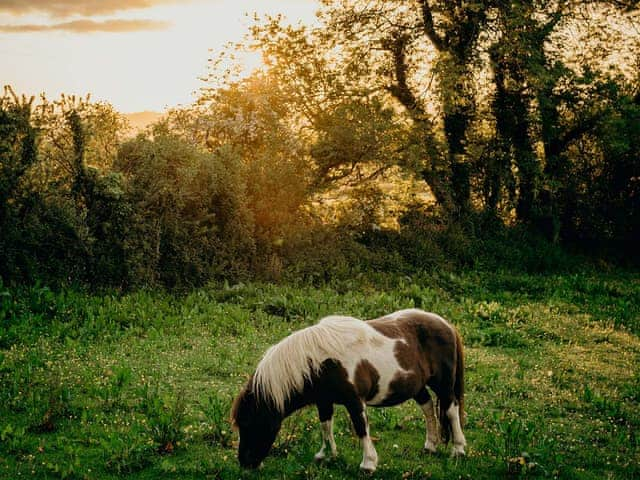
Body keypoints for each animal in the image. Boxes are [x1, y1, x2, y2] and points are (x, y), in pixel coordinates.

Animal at [230, 310, 464, 470]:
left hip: (443, 384)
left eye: (250, 423)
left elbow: (361, 428)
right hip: (417, 386)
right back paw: (430, 446)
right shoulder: (324, 401)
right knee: (428, 408)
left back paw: (458, 449)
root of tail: (447, 324)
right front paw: (326, 455)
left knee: (451, 410)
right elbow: (326, 426)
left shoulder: (355, 401)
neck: (322, 361)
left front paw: (368, 463)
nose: (245, 463)